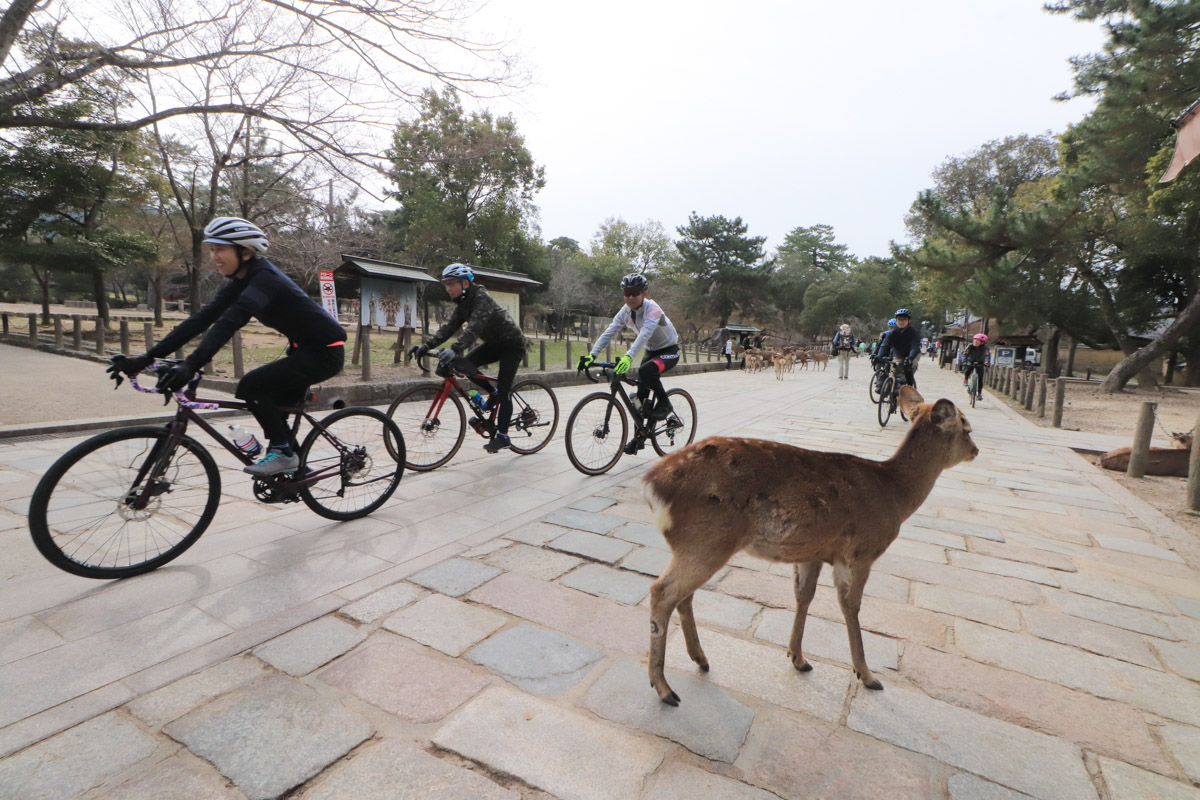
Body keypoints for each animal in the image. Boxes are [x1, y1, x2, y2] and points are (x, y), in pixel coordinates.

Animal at [648, 383, 974, 705]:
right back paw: (664, 688)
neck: (895, 496)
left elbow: (804, 595)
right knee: (661, 592)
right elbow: (850, 606)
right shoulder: (859, 552)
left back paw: (700, 659)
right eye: (966, 426)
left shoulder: (813, 552)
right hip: (706, 540)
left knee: (683, 595)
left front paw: (798, 657)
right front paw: (867, 675)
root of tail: (651, 485)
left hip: (698, 546)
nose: (976, 450)